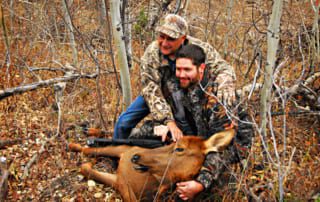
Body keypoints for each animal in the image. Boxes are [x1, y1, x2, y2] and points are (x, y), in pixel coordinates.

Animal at [68, 129, 235, 201]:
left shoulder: (120, 181)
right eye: (173, 143)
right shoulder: (122, 178)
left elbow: (86, 168)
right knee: (89, 148)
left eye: (180, 148)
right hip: (122, 148)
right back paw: (75, 143)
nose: (136, 156)